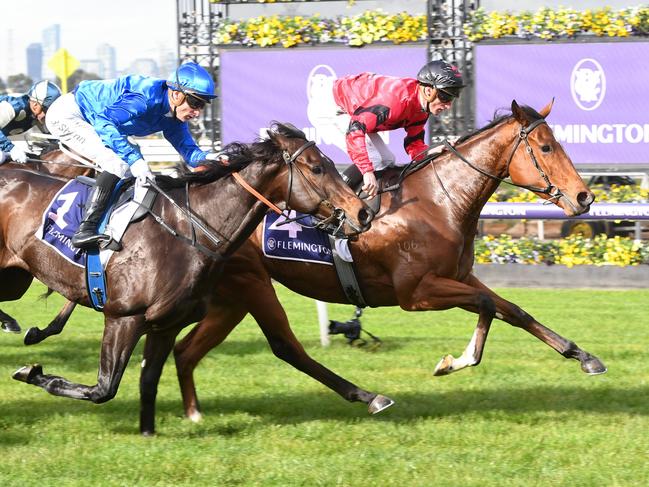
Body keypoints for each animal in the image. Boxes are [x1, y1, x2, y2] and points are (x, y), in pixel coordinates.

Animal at [6, 123, 370, 434]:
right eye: (317, 168)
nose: (363, 212)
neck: (188, 229)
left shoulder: (165, 325)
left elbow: (148, 380)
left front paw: (148, 433)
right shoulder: (123, 318)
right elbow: (102, 389)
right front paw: (31, 372)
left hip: (14, 280)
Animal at [168, 100, 608, 428]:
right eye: (546, 147)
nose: (584, 196)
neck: (439, 201)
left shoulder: (459, 276)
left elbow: (514, 310)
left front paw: (583, 356)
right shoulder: (417, 293)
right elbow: (486, 307)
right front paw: (454, 362)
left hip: (230, 297)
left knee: (186, 350)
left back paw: (194, 413)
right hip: (251, 285)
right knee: (283, 346)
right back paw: (369, 397)